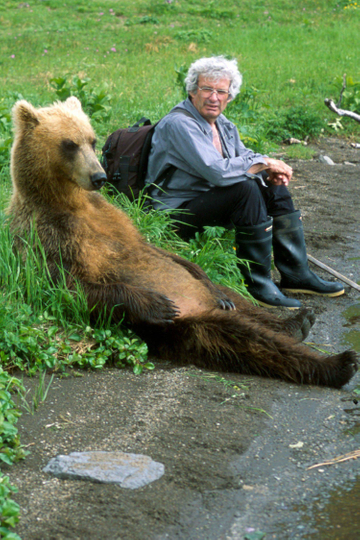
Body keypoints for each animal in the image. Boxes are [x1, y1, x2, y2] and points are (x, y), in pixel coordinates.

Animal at [7, 98, 358, 388]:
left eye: (91, 140)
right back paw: (338, 363)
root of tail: (204, 309)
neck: (69, 201)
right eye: (69, 144)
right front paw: (156, 303)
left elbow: (154, 249)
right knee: (249, 341)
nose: (99, 176)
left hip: (206, 300)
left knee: (240, 300)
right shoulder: (49, 235)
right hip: (191, 327)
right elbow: (69, 287)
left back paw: (295, 321)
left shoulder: (113, 219)